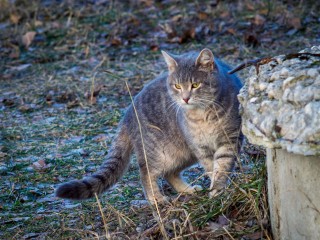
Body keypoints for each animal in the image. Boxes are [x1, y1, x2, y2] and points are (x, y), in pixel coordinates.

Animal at [57, 48, 242, 202]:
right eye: (177, 86)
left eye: (195, 85)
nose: (185, 98)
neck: (202, 116)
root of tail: (128, 113)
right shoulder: (200, 147)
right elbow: (212, 168)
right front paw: (217, 191)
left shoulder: (229, 139)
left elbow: (222, 167)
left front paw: (218, 189)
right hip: (158, 152)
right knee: (146, 173)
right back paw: (156, 199)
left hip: (181, 153)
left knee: (170, 173)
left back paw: (187, 190)